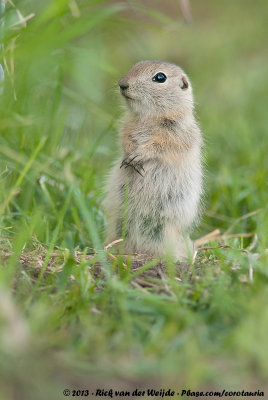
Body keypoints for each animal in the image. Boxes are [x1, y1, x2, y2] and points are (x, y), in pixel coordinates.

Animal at [103, 60, 202, 260]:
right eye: (134, 66)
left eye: (160, 77)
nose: (122, 83)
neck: (148, 117)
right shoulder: (126, 125)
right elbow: (125, 138)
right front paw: (129, 153)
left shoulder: (178, 134)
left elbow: (162, 145)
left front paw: (139, 154)